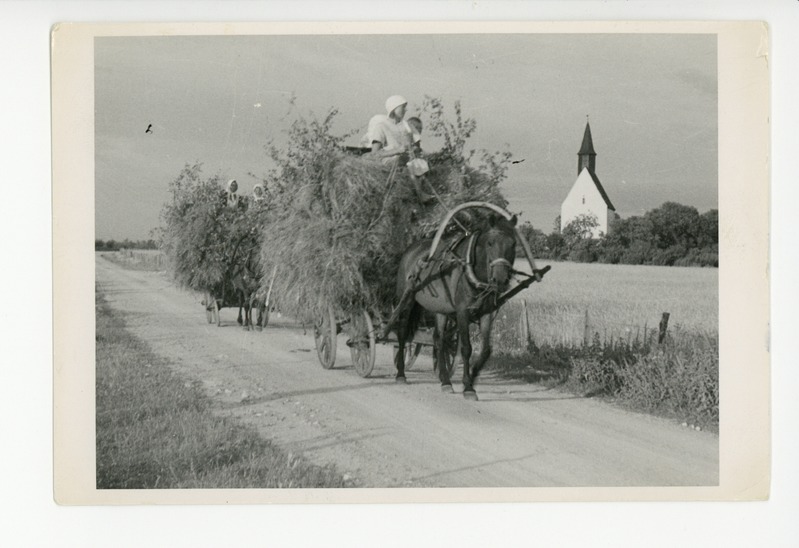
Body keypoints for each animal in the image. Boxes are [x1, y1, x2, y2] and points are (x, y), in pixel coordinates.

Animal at [394, 213, 520, 398]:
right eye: (490, 243)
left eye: (513, 244)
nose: (501, 279)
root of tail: (413, 248)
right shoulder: (462, 312)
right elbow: (466, 348)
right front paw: (468, 387)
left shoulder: (486, 313)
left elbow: (486, 350)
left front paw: (472, 377)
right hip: (406, 298)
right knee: (402, 331)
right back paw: (401, 373)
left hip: (441, 309)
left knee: (439, 340)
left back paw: (445, 380)